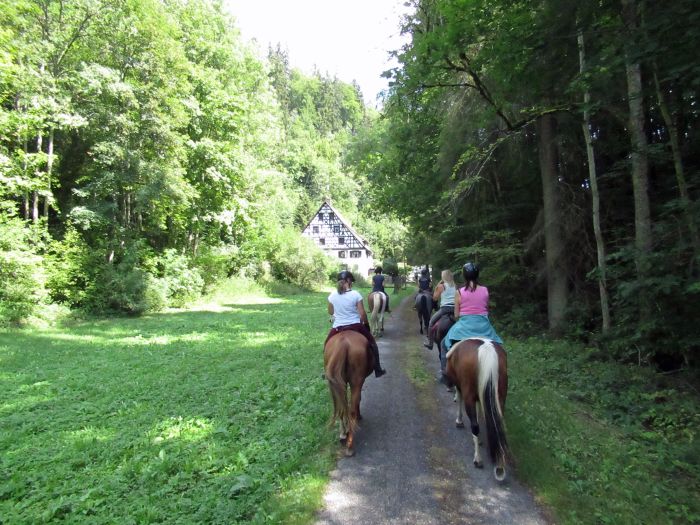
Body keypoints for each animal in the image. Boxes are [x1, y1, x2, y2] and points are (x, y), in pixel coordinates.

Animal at [446, 340, 512, 478]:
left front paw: (459, 421)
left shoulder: (461, 387)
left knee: (475, 425)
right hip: (500, 396)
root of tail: (487, 350)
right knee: (497, 423)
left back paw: (478, 459)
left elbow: (460, 400)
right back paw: (499, 465)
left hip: (469, 393)